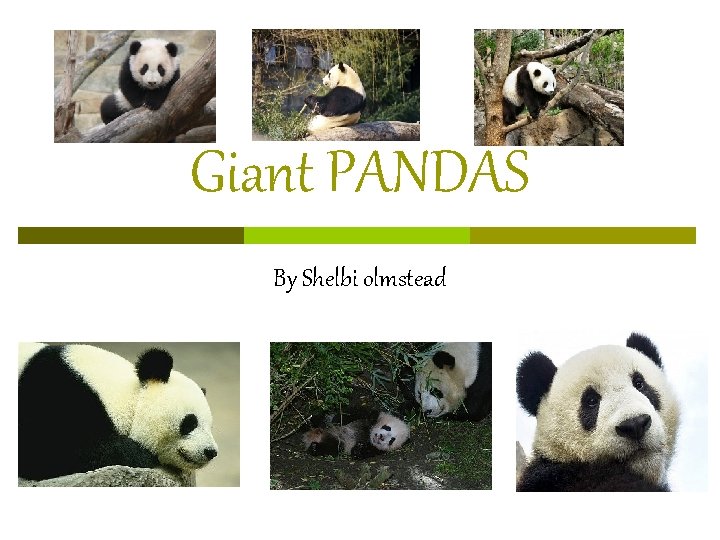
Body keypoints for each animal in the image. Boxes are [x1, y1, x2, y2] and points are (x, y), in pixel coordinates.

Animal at [18, 343, 218, 481]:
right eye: (190, 422)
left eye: (210, 426)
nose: (211, 452)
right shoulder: (53, 392)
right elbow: (44, 448)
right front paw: (140, 454)